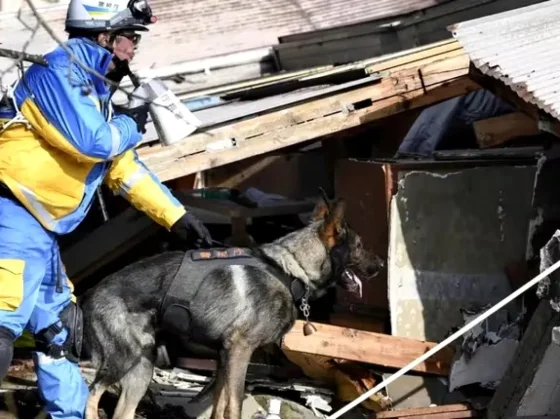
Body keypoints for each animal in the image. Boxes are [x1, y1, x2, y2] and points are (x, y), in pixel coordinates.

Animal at [80, 197, 384, 419]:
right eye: (359, 245)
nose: (381, 265)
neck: (289, 270)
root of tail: (90, 293)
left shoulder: (224, 358)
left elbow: (219, 405)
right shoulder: (239, 351)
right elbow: (234, 404)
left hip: (142, 370)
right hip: (124, 359)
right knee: (91, 394)